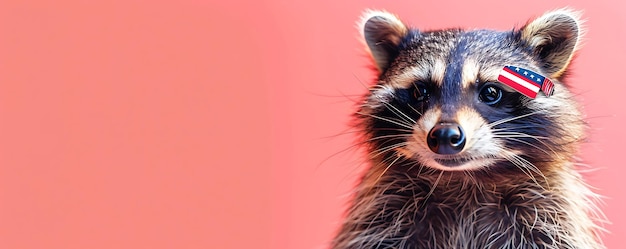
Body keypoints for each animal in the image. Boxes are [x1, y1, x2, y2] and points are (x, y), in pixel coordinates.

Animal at [332, 8, 604, 248]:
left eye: (491, 92)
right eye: (420, 91)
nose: (444, 135)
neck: (465, 179)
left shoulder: (551, 214)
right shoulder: (381, 213)